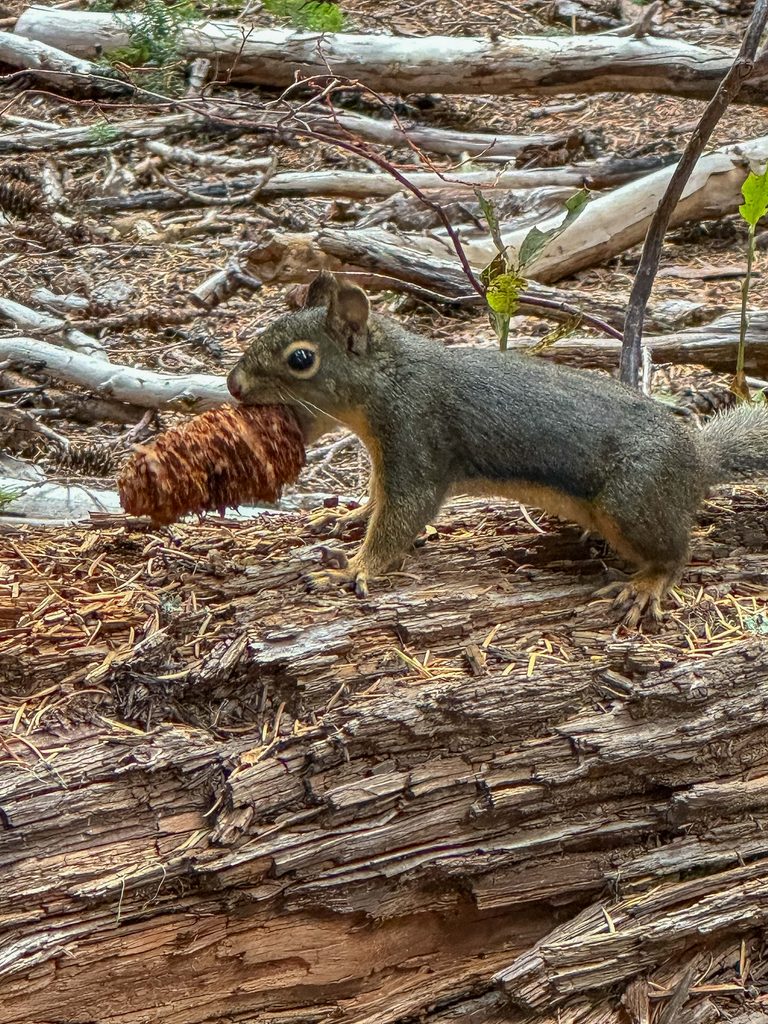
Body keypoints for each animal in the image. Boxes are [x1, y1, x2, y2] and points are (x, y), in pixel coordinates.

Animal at [227, 271, 768, 625]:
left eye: (301, 359)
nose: (233, 384)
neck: (391, 377)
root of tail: (696, 460)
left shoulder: (417, 434)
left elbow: (403, 514)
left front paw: (354, 569)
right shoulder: (388, 456)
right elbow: (379, 497)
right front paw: (351, 516)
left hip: (631, 501)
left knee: (676, 552)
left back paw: (646, 583)